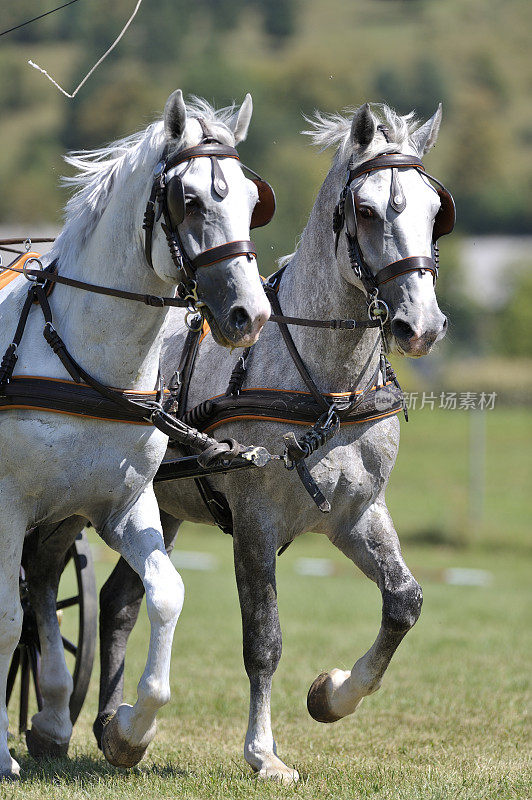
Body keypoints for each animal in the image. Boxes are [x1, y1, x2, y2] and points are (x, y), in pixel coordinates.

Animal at [0, 90, 270, 780]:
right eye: (190, 200)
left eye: (252, 200)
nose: (250, 314)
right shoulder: (7, 507)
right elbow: (5, 617)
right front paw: (0, 755)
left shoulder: (121, 503)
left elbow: (167, 594)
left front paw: (130, 731)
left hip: (62, 516)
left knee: (43, 583)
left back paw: (52, 716)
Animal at [37, 101, 450, 780]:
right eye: (366, 211)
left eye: (434, 209)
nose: (423, 324)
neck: (323, 384)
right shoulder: (255, 521)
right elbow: (264, 640)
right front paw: (264, 753)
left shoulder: (358, 514)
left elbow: (404, 603)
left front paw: (333, 695)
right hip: (70, 498)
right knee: (45, 580)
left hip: (155, 505)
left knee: (121, 599)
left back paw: (115, 730)